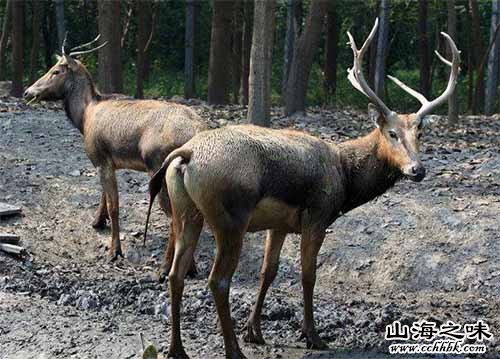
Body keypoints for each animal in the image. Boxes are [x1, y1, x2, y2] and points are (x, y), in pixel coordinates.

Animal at [23, 37, 207, 272]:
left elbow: (114, 206)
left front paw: (114, 251)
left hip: (158, 168)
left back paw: (165, 267)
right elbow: (104, 195)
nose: (28, 92)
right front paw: (97, 221)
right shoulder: (109, 162)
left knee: (175, 218)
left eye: (55, 71)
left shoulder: (99, 158)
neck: (84, 117)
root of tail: (198, 131)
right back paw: (190, 266)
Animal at [144, 19, 458, 359]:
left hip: (187, 212)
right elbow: (308, 275)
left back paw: (177, 348)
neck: (345, 178)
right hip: (230, 218)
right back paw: (232, 349)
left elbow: (268, 271)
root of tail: (186, 153)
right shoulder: (317, 215)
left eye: (419, 134)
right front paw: (312, 335)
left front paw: (255, 331)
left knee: (176, 274)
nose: (417, 170)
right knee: (218, 280)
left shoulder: (278, 224)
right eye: (392, 133)